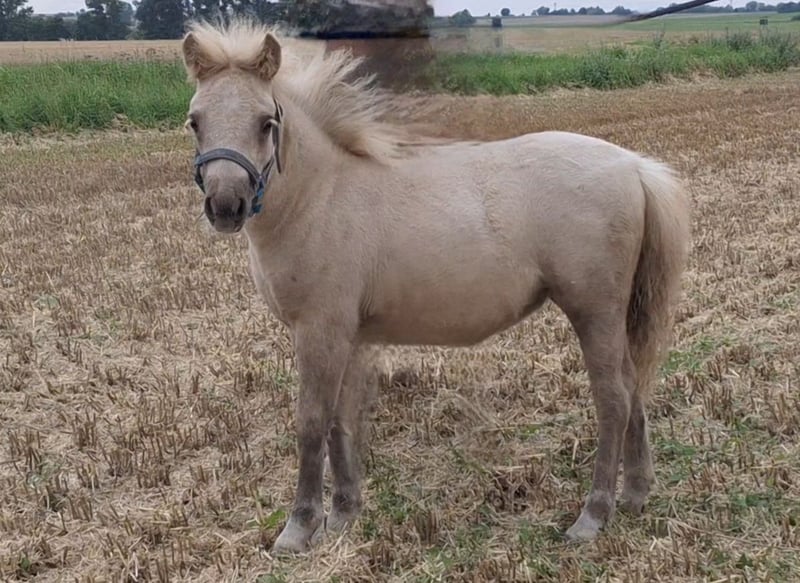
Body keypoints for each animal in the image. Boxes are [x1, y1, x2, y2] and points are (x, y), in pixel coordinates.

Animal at [179, 18, 691, 554]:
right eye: (195, 121)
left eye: (266, 122)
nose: (225, 205)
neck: (321, 198)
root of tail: (634, 166)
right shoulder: (347, 336)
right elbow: (342, 419)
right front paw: (343, 513)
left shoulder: (318, 330)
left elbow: (312, 421)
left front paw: (299, 527)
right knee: (633, 387)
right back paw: (634, 495)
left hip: (594, 312)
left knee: (613, 398)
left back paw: (593, 515)